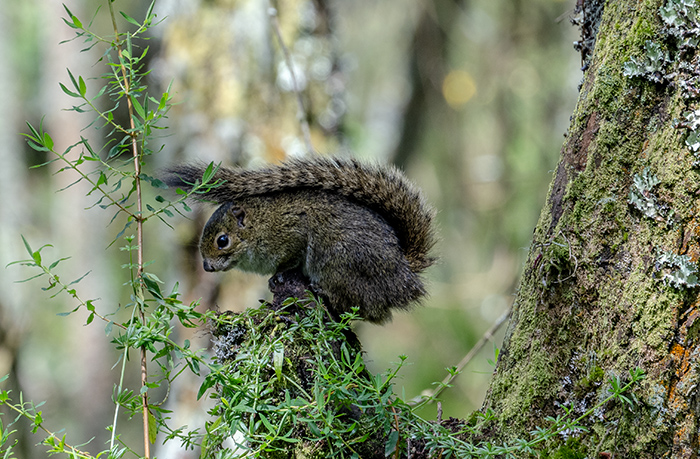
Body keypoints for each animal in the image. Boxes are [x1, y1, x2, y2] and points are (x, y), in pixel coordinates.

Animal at [165, 156, 438, 326]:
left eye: (222, 241)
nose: (207, 266)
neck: (261, 225)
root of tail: (404, 276)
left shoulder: (292, 235)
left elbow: (290, 260)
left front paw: (278, 276)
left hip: (340, 262)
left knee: (362, 306)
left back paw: (323, 291)